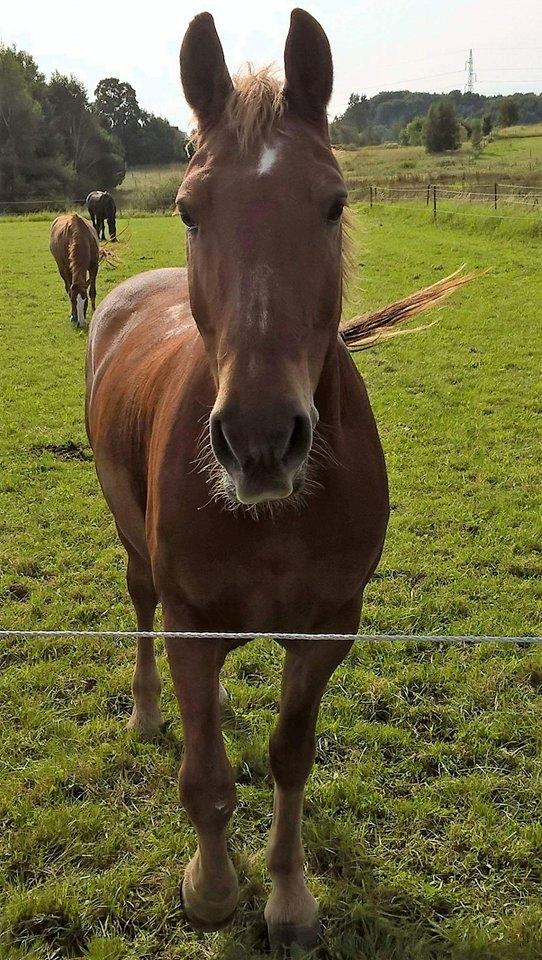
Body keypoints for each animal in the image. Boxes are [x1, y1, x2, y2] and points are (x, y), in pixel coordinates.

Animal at [87, 9, 474, 952]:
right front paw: (213, 888)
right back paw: (145, 710)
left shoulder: (327, 628)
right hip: (136, 555)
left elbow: (288, 758)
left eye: (333, 203)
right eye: (189, 210)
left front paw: (290, 898)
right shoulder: (193, 627)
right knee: (140, 609)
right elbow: (205, 777)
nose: (260, 442)